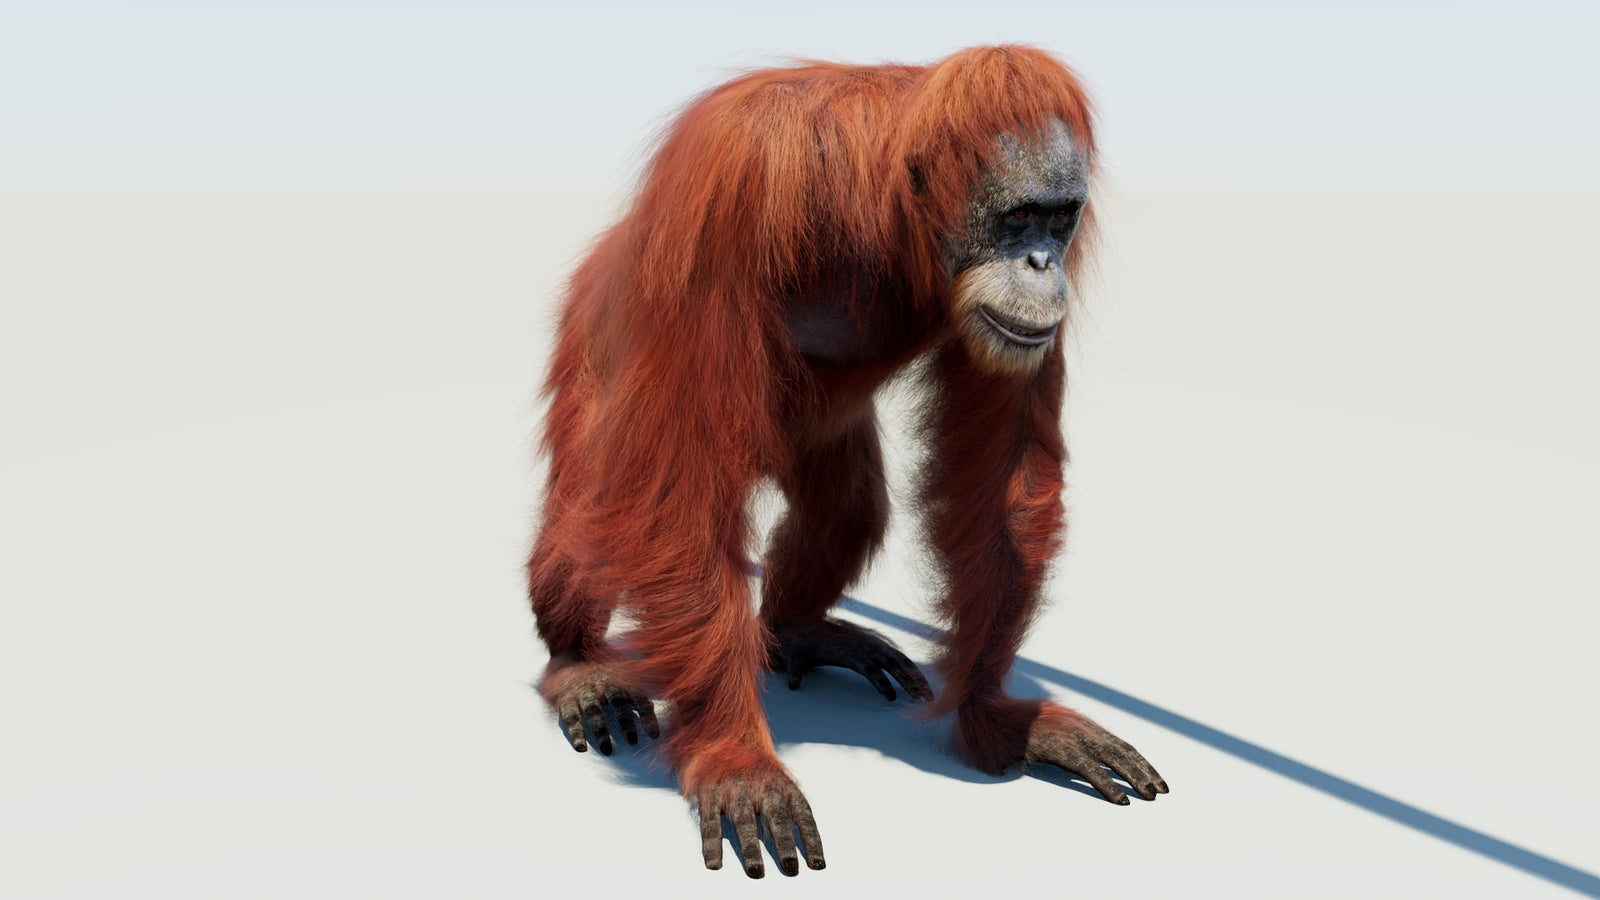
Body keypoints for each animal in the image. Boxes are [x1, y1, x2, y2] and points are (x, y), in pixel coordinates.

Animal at [529, 45, 1166, 878]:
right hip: (592, 341)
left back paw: (795, 631)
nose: (1039, 263)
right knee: (598, 514)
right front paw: (735, 758)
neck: (894, 207)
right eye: (1017, 218)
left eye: (1059, 219)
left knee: (848, 508)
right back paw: (581, 665)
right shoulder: (731, 187)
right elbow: (679, 486)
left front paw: (998, 720)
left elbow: (1001, 474)